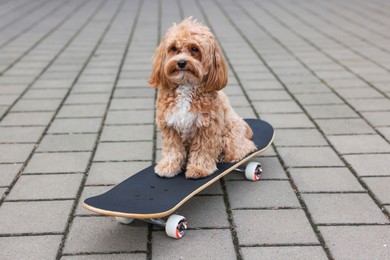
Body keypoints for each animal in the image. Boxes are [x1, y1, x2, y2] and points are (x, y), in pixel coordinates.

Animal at [147, 16, 256, 179]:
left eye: (194, 49)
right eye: (173, 48)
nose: (181, 62)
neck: (186, 85)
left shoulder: (207, 127)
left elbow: (202, 150)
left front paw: (199, 169)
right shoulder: (170, 126)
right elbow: (173, 150)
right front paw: (168, 167)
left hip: (229, 135)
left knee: (244, 148)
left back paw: (228, 156)